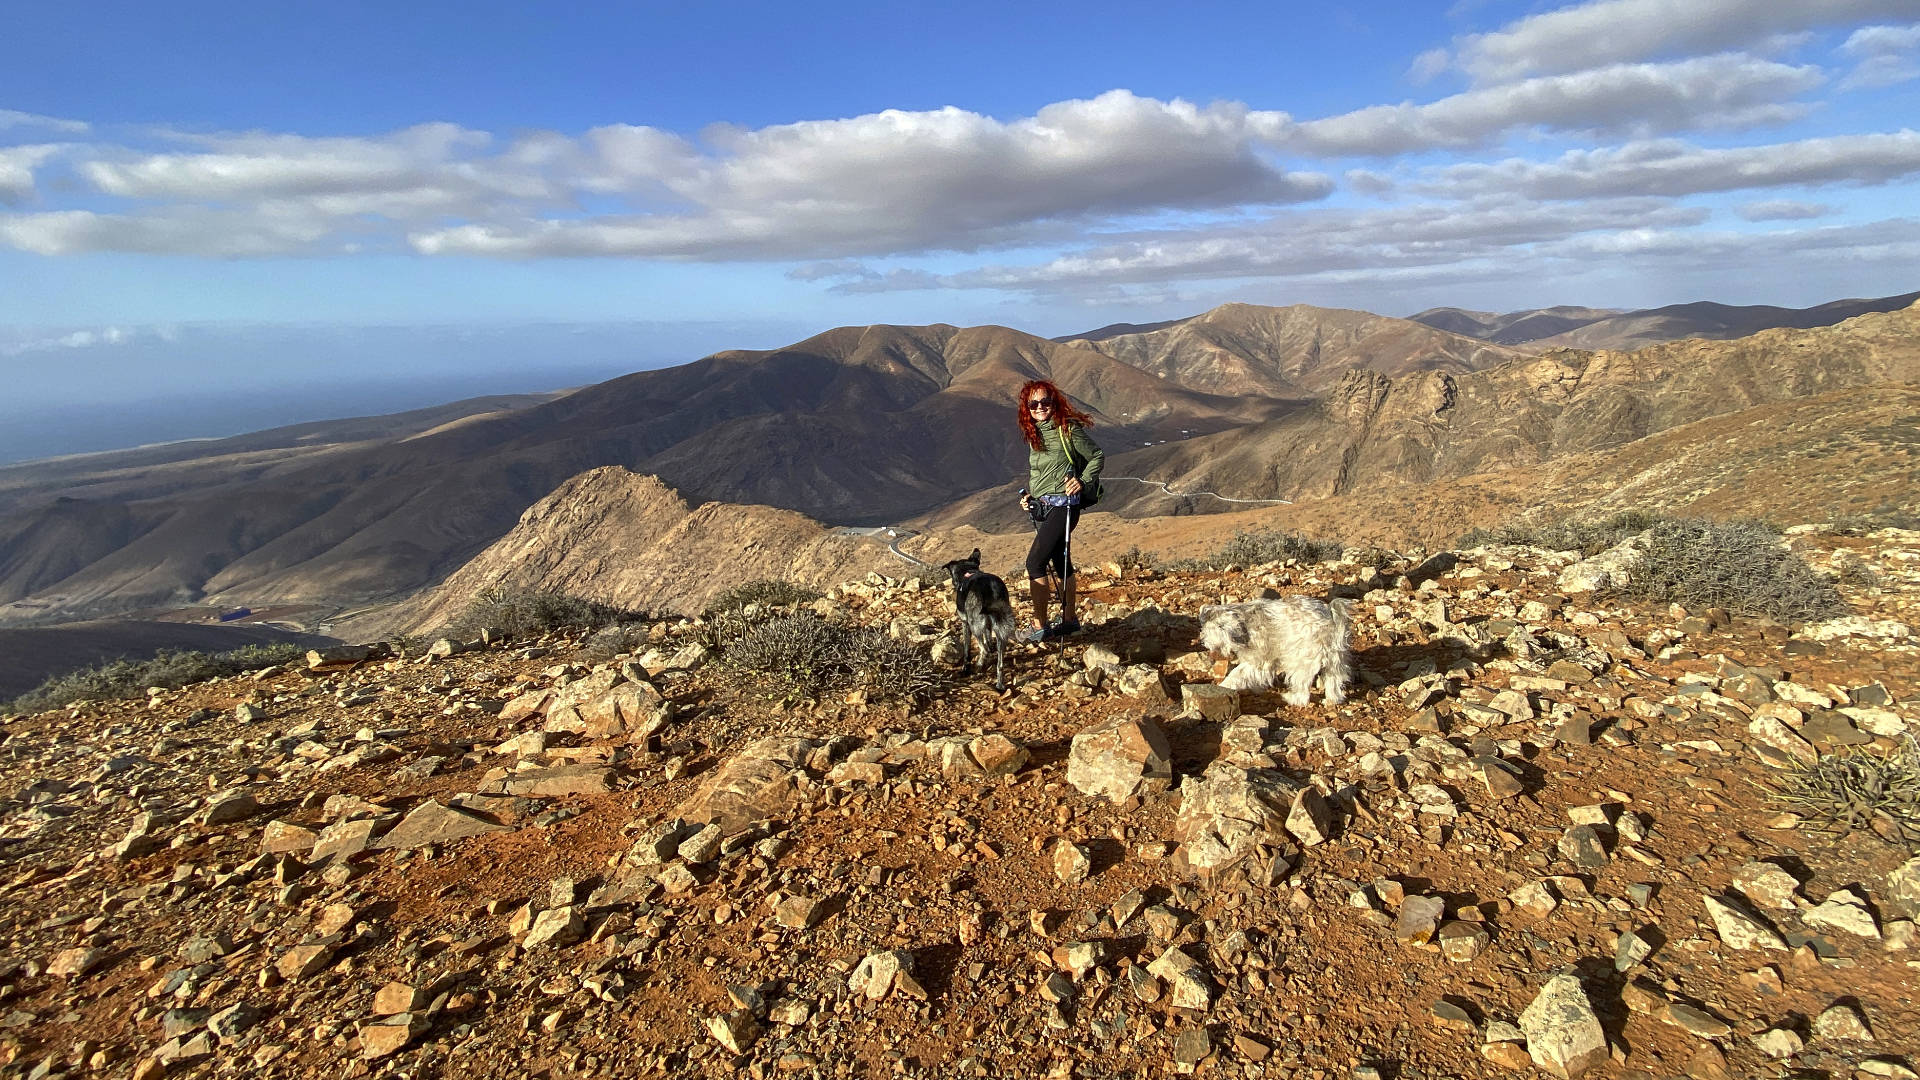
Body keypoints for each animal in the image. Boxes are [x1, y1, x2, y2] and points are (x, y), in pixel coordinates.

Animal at [940, 545, 1021, 687]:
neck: (968, 571)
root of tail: (991, 587)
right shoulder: (988, 625)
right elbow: (988, 639)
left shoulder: (965, 623)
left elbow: (967, 650)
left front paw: (965, 669)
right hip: (1001, 627)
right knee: (1000, 663)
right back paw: (999, 685)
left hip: (974, 625)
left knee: (984, 650)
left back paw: (979, 666)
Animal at [1198, 591, 1351, 703]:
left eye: (1206, 631)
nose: (1203, 642)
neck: (1244, 623)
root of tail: (1331, 619)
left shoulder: (1259, 661)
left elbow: (1237, 673)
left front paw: (1224, 686)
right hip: (1335, 660)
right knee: (1333, 681)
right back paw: (1332, 700)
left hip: (1301, 660)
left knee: (1302, 691)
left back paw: (1292, 699)